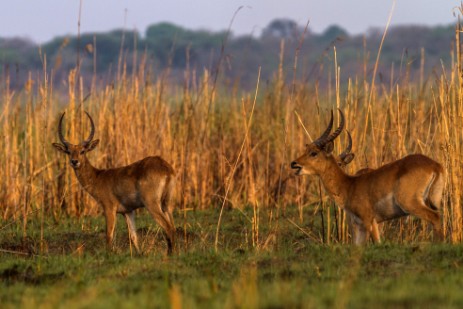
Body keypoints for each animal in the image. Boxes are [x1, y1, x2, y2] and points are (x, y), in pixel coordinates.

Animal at [52, 112, 178, 254]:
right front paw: (139, 254)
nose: (74, 161)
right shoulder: (128, 212)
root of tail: (166, 168)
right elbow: (133, 237)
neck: (98, 177)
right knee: (173, 228)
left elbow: (109, 235)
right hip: (166, 204)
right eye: (68, 151)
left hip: (152, 204)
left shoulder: (109, 208)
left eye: (82, 151)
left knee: (168, 227)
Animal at [290, 110, 446, 243]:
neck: (349, 185)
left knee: (435, 217)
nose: (294, 163)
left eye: (314, 152)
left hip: (410, 203)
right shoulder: (364, 225)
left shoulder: (368, 221)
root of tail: (435, 165)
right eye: (307, 149)